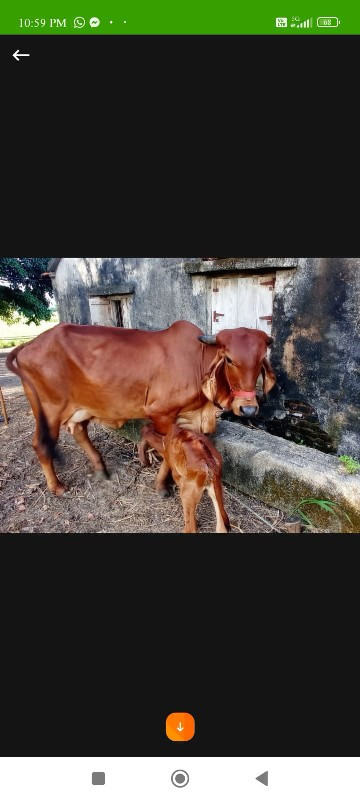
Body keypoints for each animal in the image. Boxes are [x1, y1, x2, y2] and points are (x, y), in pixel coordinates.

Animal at [4, 318, 276, 494]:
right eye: (229, 359)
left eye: (261, 359)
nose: (248, 409)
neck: (197, 361)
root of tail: (28, 345)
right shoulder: (161, 413)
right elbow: (167, 450)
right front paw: (162, 486)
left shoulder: (190, 419)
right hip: (48, 409)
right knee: (41, 445)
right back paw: (57, 487)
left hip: (81, 407)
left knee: (79, 431)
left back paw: (101, 469)